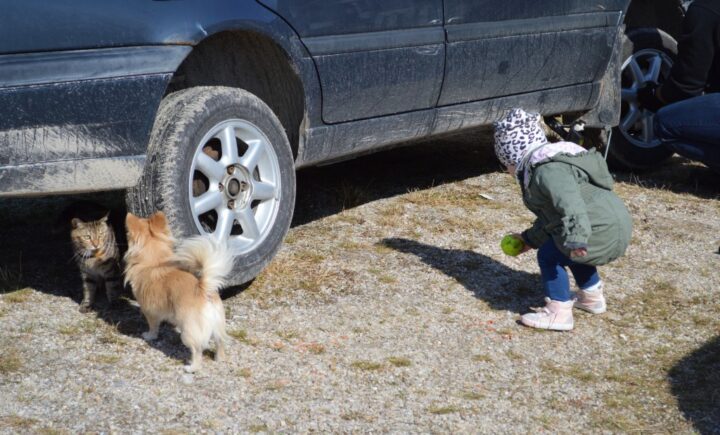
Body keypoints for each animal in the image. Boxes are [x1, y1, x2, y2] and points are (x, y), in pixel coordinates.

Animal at [124, 213, 231, 372]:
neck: (155, 262)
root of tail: (203, 289)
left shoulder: (150, 311)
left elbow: (153, 326)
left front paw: (150, 335)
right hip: (218, 325)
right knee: (220, 342)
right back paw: (219, 358)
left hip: (188, 330)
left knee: (197, 350)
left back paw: (192, 368)